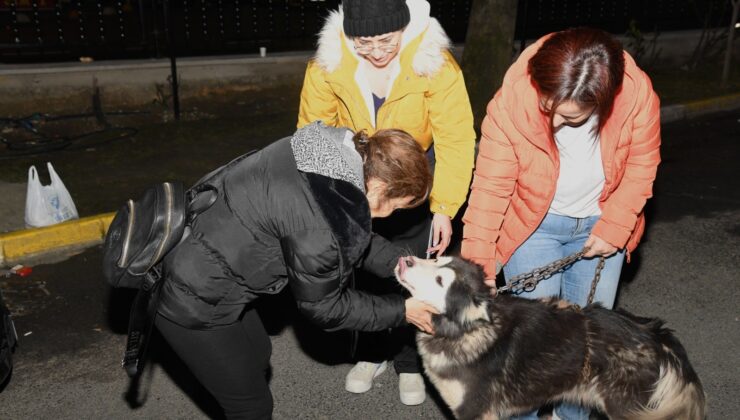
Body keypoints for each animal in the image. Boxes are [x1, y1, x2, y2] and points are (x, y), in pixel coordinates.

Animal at [396, 254, 708, 418]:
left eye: (440, 281)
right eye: (437, 258)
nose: (406, 259)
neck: (465, 331)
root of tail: (654, 330)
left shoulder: (475, 411)